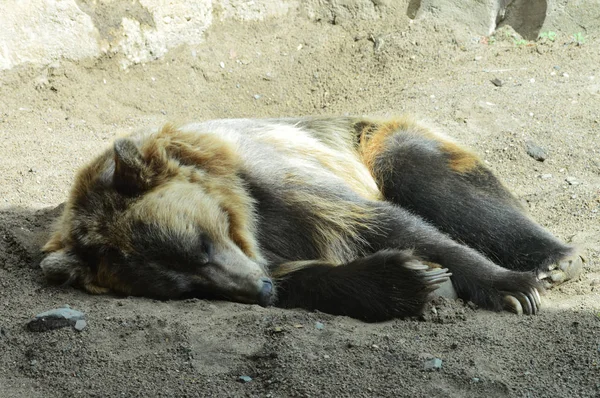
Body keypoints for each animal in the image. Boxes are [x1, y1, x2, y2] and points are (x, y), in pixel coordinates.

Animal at [38, 116, 580, 322]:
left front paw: (511, 287)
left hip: (376, 141)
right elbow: (314, 279)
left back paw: (553, 261)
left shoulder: (282, 182)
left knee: (432, 180)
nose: (258, 290)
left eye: (201, 242)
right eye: (184, 286)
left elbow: (392, 224)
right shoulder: (270, 249)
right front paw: (411, 280)